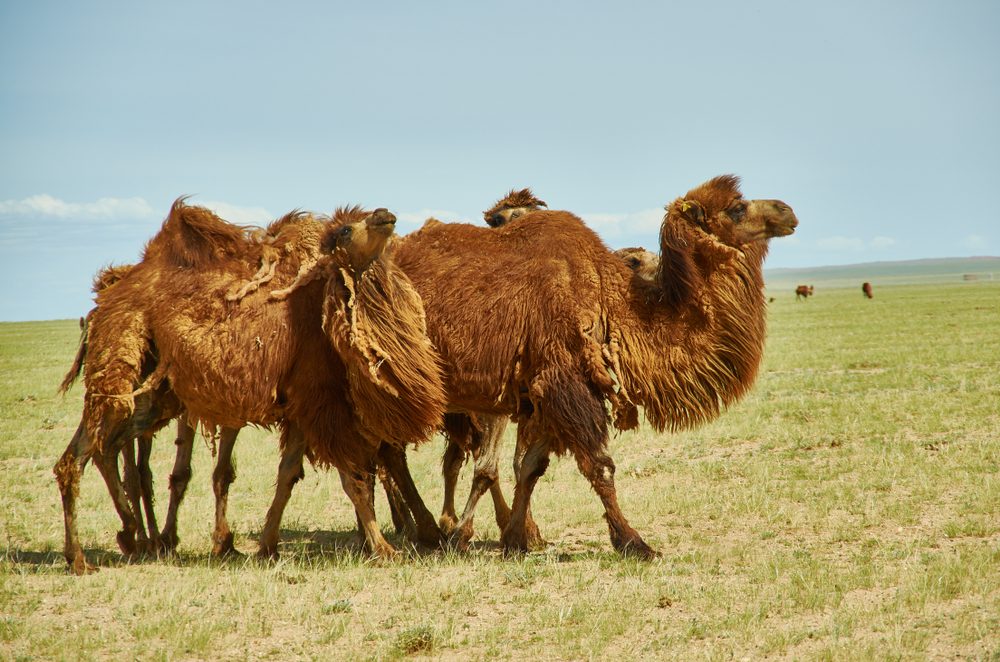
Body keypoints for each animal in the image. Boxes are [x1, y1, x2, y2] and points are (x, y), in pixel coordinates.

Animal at [55, 200, 446, 572]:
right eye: (347, 229)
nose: (385, 214)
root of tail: (102, 305)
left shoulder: (300, 408)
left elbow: (288, 475)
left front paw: (266, 547)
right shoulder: (320, 401)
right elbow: (354, 480)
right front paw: (384, 549)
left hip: (156, 394)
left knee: (103, 448)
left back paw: (128, 536)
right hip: (120, 361)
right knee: (81, 455)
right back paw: (87, 556)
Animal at [390, 174, 796, 556]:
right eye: (737, 208)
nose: (787, 210)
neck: (609, 298)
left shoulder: (542, 391)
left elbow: (530, 466)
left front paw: (517, 539)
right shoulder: (562, 379)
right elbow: (599, 463)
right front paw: (633, 542)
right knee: (392, 456)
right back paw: (421, 531)